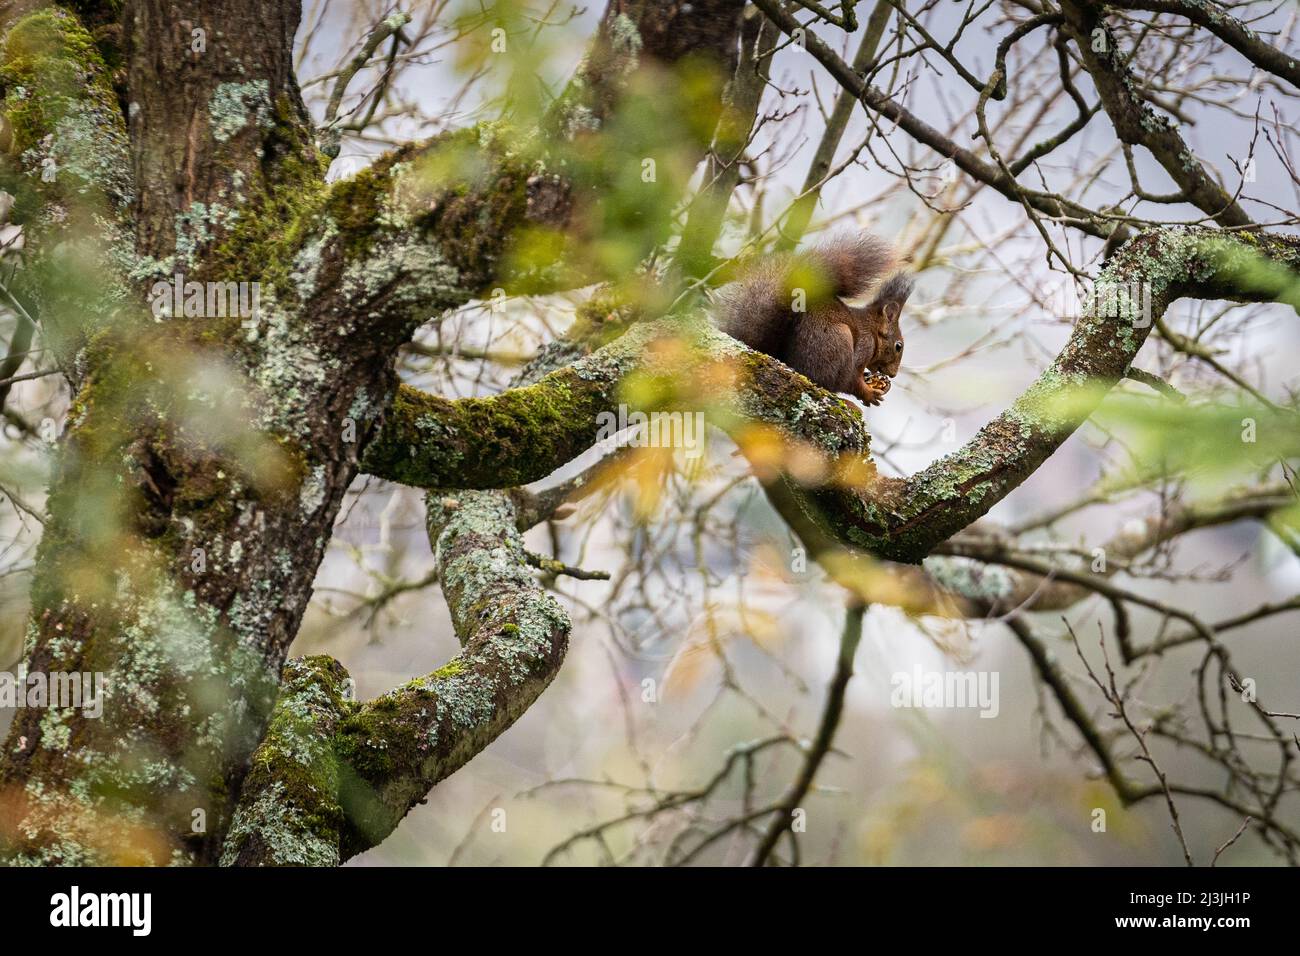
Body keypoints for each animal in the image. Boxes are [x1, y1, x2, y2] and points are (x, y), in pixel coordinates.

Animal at [713, 233, 914, 407]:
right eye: (898, 346)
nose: (893, 374)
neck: (872, 329)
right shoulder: (865, 344)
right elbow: (851, 378)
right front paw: (868, 393)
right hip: (839, 340)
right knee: (835, 382)